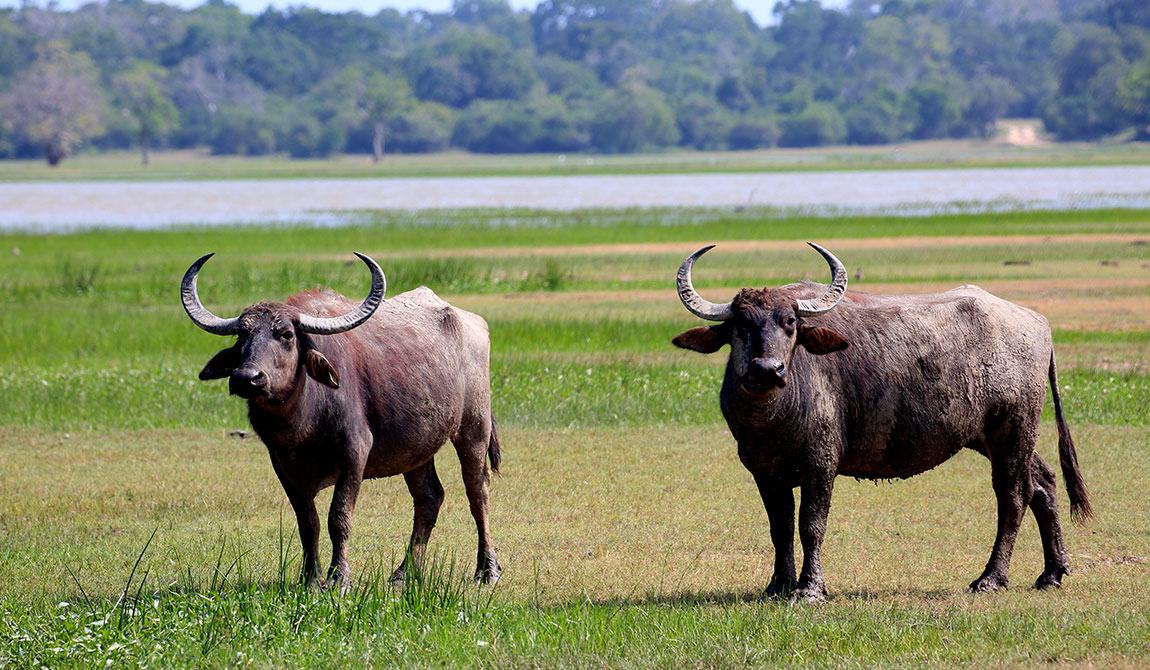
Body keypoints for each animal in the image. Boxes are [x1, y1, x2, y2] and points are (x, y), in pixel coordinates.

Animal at [182, 253, 502, 588]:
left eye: (286, 334)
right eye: (242, 334)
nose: (247, 378)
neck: (301, 424)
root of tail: (474, 323)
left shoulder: (354, 453)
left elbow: (339, 517)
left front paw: (339, 577)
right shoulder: (281, 463)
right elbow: (307, 522)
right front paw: (310, 578)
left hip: (474, 426)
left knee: (478, 492)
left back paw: (487, 569)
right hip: (417, 449)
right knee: (429, 498)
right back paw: (405, 572)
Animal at [672, 243, 1091, 601]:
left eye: (789, 321)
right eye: (741, 324)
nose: (767, 369)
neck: (773, 419)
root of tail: (1038, 324)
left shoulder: (820, 464)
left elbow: (811, 524)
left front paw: (810, 589)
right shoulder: (764, 471)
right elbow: (780, 528)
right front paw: (778, 585)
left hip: (1012, 430)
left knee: (1014, 497)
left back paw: (990, 578)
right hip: (994, 437)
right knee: (1043, 482)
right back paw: (1052, 572)